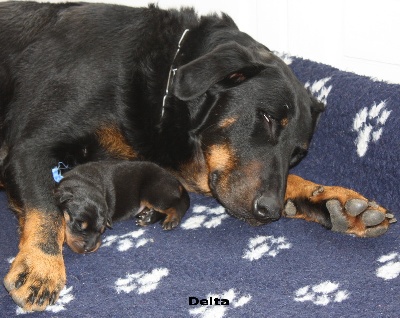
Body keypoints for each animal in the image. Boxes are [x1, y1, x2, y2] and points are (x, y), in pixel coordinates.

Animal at [54, 161, 190, 253]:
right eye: (79, 225)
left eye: (102, 231)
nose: (90, 248)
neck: (84, 182)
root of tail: (176, 182)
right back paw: (147, 217)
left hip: (154, 192)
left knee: (177, 205)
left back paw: (171, 220)